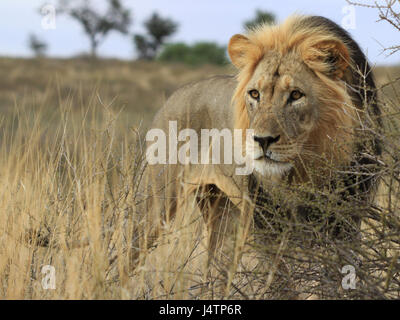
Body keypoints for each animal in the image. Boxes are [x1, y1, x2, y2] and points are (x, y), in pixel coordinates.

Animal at [136, 15, 382, 294]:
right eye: (255, 94)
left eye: (296, 95)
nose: (262, 140)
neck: (310, 168)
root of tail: (175, 94)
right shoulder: (266, 224)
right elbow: (283, 284)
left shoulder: (347, 222)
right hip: (154, 205)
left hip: (225, 216)